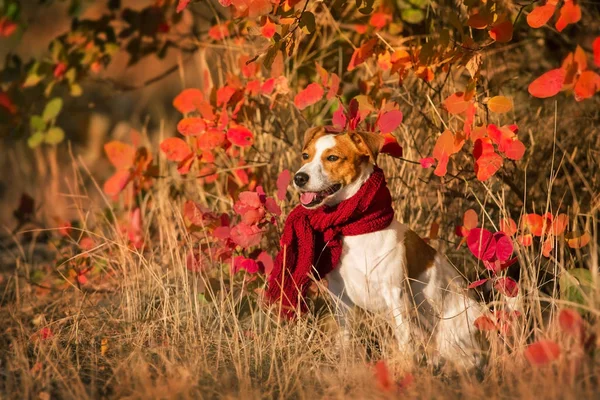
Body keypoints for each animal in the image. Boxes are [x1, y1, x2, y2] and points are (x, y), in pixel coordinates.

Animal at [292, 128, 486, 368]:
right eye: (305, 155)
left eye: (333, 157)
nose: (299, 178)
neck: (356, 230)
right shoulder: (340, 296)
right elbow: (345, 339)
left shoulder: (395, 295)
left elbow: (405, 343)